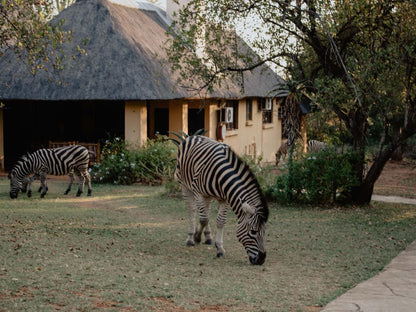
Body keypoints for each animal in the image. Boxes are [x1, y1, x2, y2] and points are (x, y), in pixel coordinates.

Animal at [174, 135, 268, 264]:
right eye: (253, 232)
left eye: (265, 231)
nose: (261, 260)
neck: (221, 175)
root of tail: (194, 136)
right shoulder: (198, 193)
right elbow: (203, 219)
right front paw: (197, 237)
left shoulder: (225, 199)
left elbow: (220, 221)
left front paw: (219, 248)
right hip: (184, 185)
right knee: (193, 211)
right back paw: (190, 238)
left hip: (207, 195)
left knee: (206, 211)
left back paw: (208, 237)